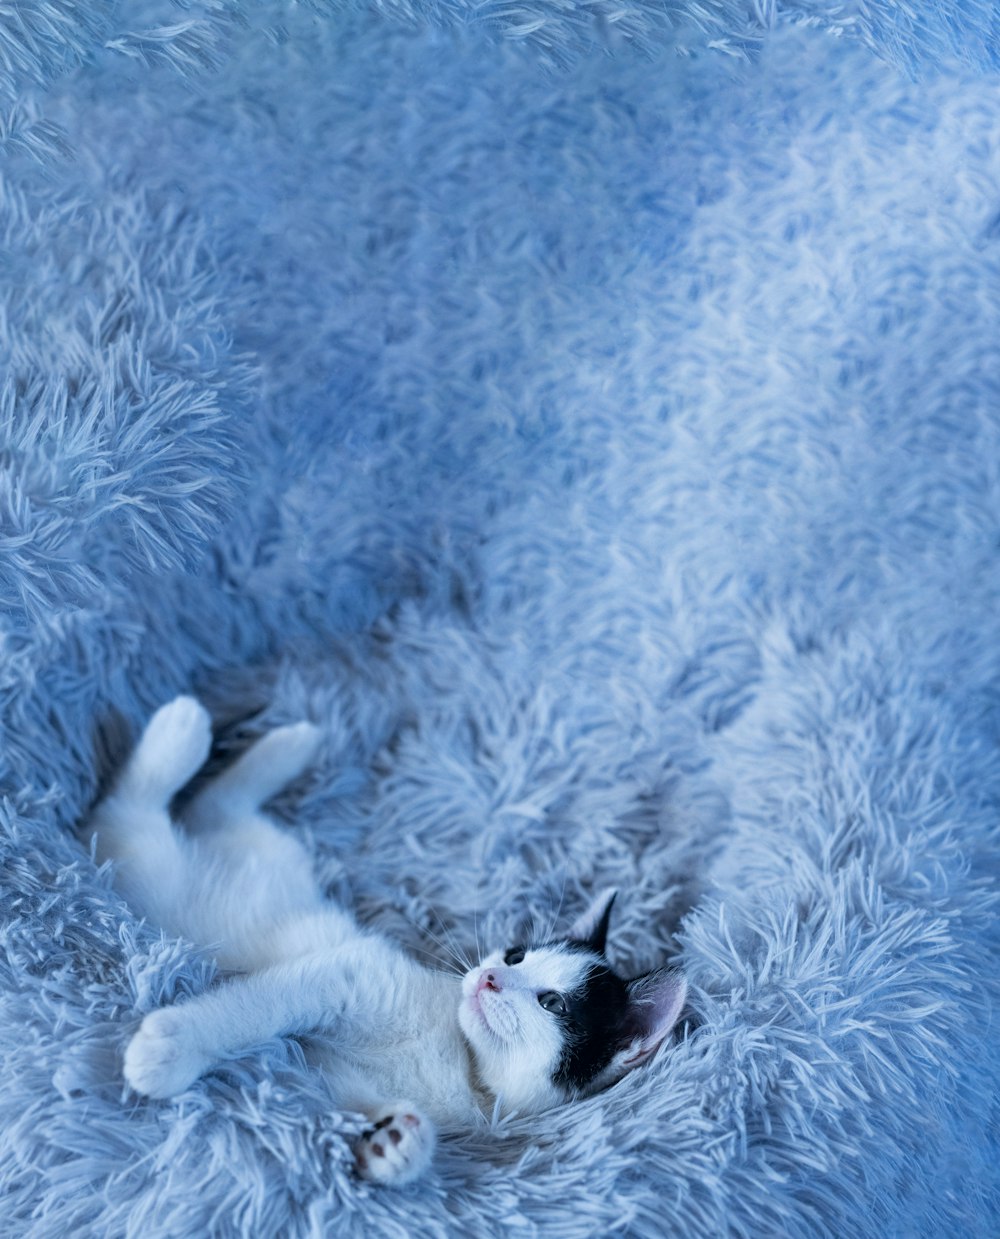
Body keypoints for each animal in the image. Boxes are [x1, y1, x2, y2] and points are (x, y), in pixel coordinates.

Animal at [86, 698, 684, 1189]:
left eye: (553, 1003)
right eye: (515, 954)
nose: (489, 977)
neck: (466, 1067)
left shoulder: (324, 1076)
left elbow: (341, 1096)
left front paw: (395, 1144)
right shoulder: (350, 971)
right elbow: (252, 1011)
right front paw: (172, 1047)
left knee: (206, 808)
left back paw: (280, 742)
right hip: (159, 872)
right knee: (129, 813)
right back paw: (194, 732)